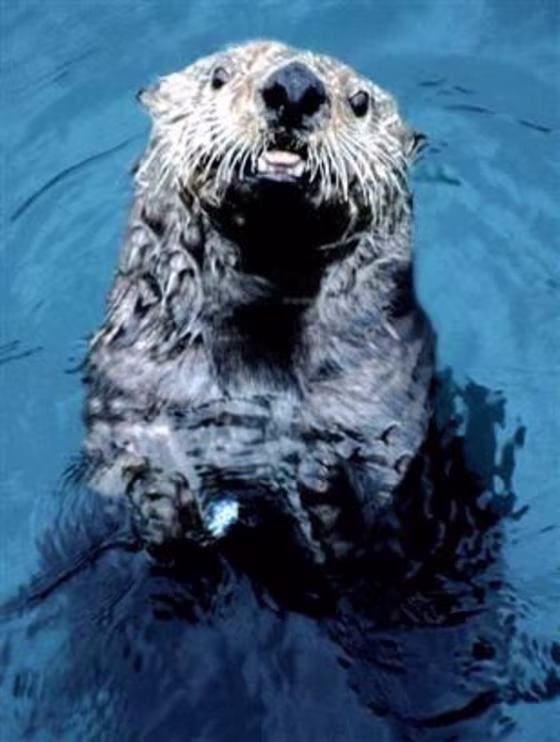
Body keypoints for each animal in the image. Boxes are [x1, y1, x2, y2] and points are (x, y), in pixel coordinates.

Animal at [83, 40, 434, 565]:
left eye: (360, 101)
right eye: (219, 75)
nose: (295, 86)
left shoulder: (385, 405)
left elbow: (386, 525)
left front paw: (326, 484)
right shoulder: (134, 384)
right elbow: (121, 460)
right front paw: (161, 495)